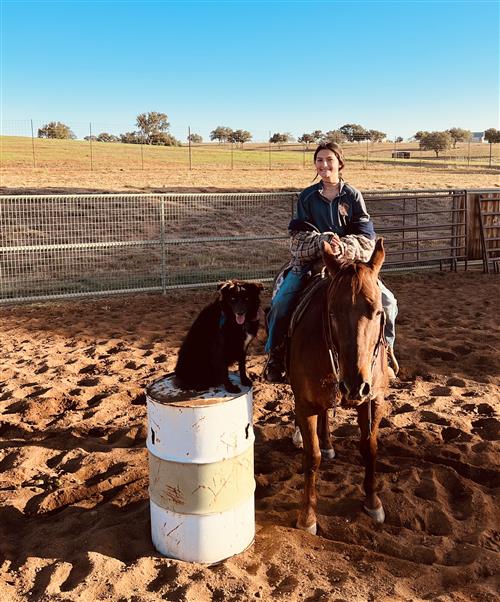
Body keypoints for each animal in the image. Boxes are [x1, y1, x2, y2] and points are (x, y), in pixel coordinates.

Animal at [288, 237, 388, 532]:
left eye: (377, 311)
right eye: (332, 312)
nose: (354, 386)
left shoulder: (374, 399)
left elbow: (370, 448)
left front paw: (373, 503)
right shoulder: (305, 403)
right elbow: (312, 457)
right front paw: (307, 518)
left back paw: (329, 442)